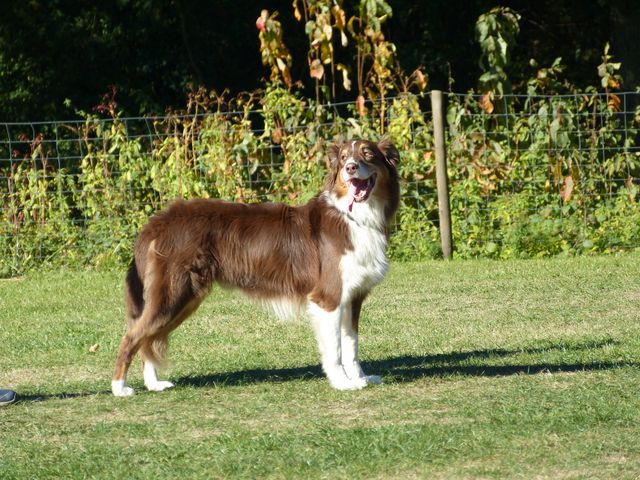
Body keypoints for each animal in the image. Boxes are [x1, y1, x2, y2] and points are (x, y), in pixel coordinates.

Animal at [111, 138, 400, 396]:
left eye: (367, 154)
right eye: (343, 158)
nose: (351, 168)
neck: (354, 217)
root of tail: (159, 220)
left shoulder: (352, 297)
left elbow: (351, 344)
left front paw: (360, 378)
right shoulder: (328, 297)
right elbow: (336, 349)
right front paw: (342, 383)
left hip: (183, 297)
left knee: (147, 340)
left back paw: (153, 384)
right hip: (174, 293)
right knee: (132, 337)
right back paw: (119, 388)